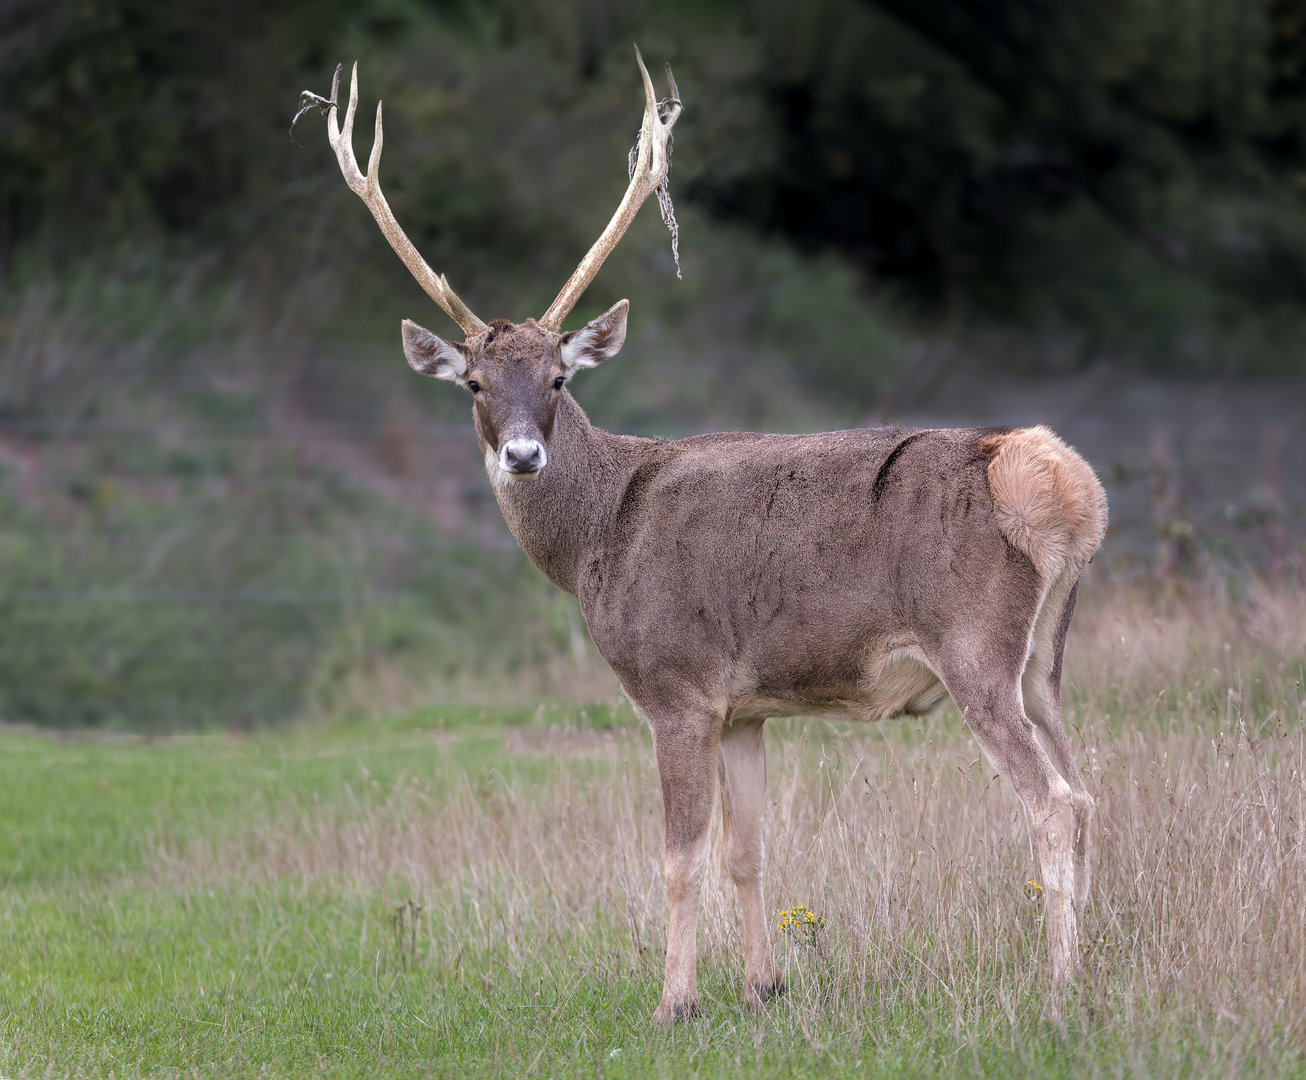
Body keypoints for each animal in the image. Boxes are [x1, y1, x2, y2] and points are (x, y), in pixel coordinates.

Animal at [296, 50, 1108, 1024]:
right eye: (476, 384)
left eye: (560, 378)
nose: (524, 455)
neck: (598, 538)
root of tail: (1057, 480)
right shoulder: (746, 706)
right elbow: (746, 852)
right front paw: (764, 985)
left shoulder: (674, 687)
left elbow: (678, 857)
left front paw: (673, 1002)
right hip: (1046, 660)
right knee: (1089, 790)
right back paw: (1095, 964)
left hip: (976, 647)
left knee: (1054, 801)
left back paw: (1060, 988)